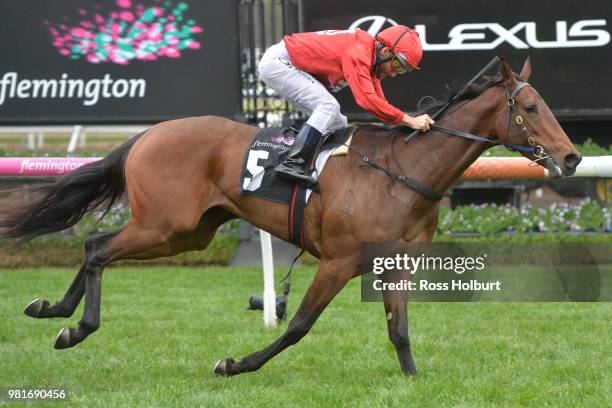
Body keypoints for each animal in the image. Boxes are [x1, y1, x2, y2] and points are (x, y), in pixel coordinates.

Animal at [0, 58, 580, 376]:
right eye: (530, 108)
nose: (572, 157)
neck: (402, 172)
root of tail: (148, 133)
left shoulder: (396, 266)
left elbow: (400, 331)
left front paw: (415, 380)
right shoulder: (339, 261)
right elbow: (299, 324)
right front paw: (235, 364)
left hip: (185, 234)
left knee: (94, 244)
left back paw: (54, 311)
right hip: (164, 224)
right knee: (97, 247)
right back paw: (75, 325)